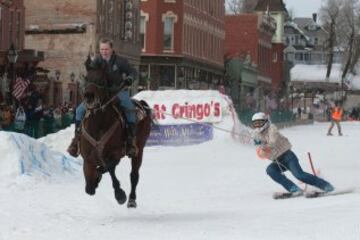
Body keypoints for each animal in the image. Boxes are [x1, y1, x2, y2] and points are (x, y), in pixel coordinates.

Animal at [79, 68, 152, 207]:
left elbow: (110, 168)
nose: (89, 95)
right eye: (86, 78)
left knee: (134, 175)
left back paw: (131, 199)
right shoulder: (87, 158)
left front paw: (120, 194)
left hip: (139, 150)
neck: (98, 124)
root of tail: (141, 104)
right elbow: (89, 186)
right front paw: (94, 180)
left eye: (101, 80)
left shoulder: (115, 152)